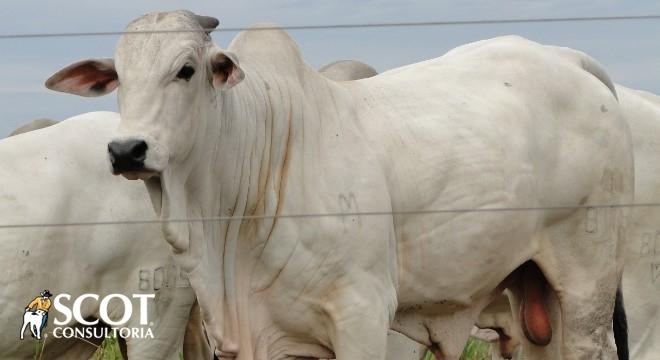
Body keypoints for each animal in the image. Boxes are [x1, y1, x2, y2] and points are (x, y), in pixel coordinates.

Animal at [43, 9, 632, 358]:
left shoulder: (362, 313)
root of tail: (567, 58)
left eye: (185, 70)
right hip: (532, 289)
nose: (127, 150)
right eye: (119, 77)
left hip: (588, 282)